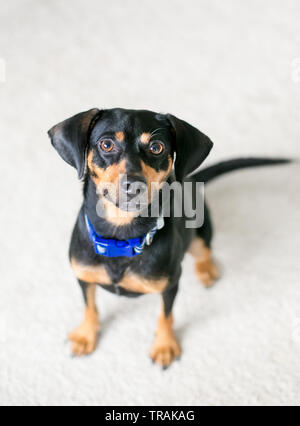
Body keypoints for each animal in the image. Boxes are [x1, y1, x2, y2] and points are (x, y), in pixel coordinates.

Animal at [48, 108, 290, 368]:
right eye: (106, 144)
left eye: (157, 147)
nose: (133, 186)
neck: (122, 237)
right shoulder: (84, 277)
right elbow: (90, 307)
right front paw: (86, 335)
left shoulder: (171, 284)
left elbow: (165, 316)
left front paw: (164, 346)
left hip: (198, 234)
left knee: (204, 250)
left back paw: (206, 270)